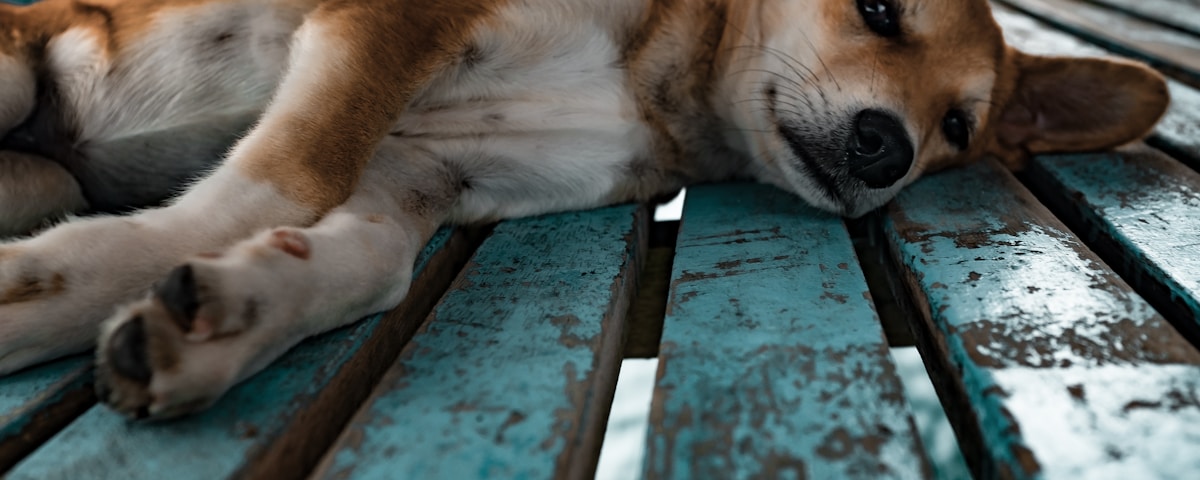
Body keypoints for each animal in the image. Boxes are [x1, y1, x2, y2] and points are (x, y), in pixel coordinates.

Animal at [0, 0, 1166, 420]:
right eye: (877, 7)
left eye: (958, 127)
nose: (890, 144)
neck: (663, 78)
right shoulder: (380, 35)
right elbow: (279, 178)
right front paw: (59, 284)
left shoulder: (428, 177)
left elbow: (362, 264)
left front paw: (227, 319)